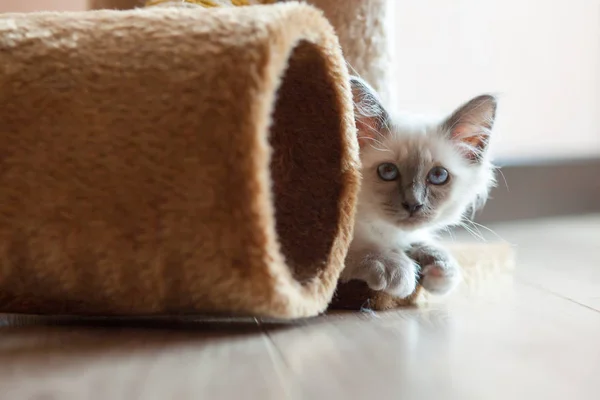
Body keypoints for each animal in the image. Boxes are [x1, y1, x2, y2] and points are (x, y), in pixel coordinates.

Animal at [342, 76, 496, 298]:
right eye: (387, 171)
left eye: (438, 176)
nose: (413, 204)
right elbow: (355, 248)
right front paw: (396, 269)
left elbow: (422, 241)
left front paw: (440, 268)